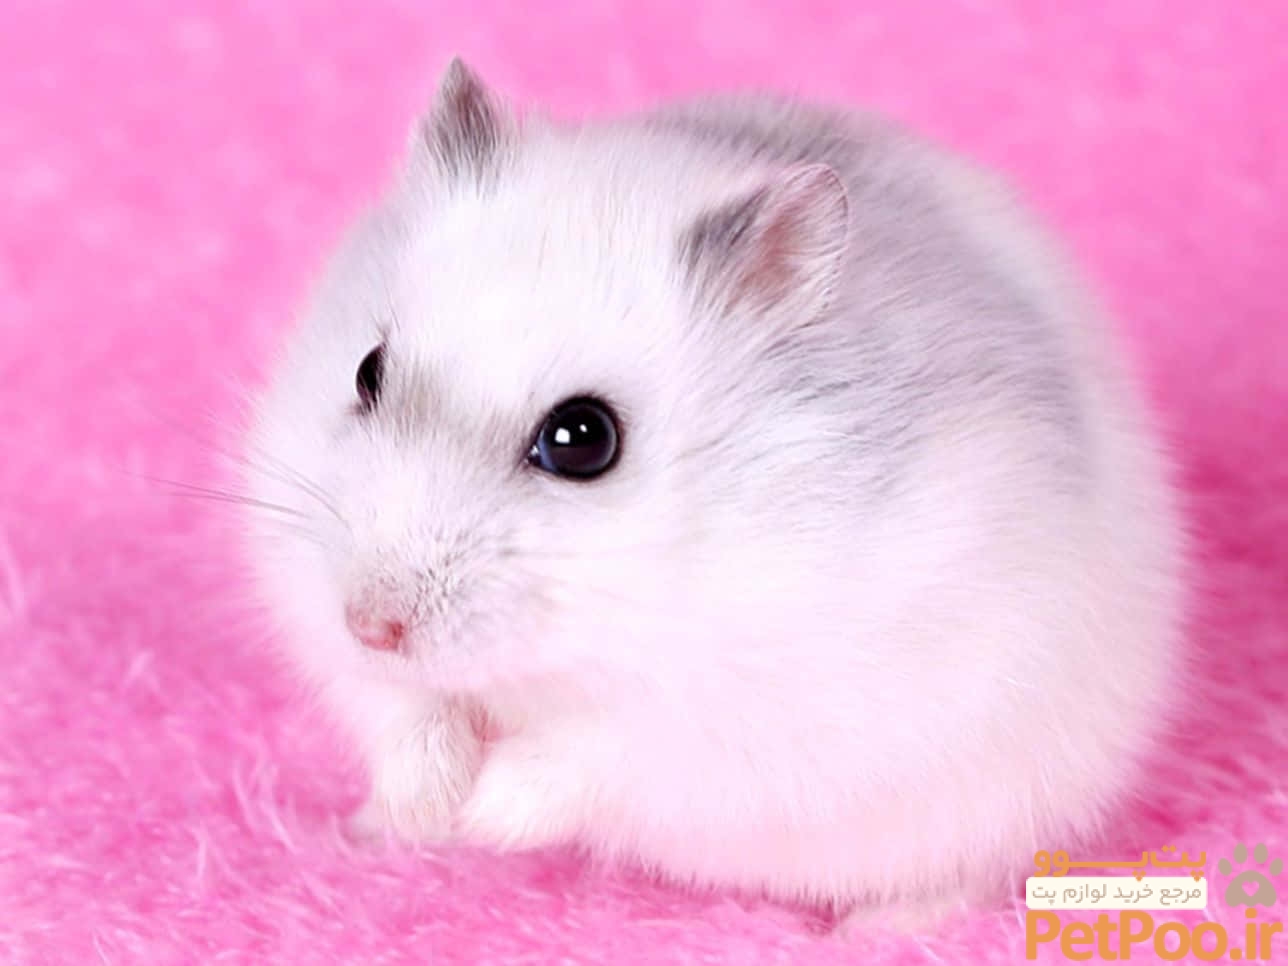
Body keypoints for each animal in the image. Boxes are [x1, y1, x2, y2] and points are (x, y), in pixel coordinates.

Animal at [241, 58, 1186, 928]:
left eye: (584, 440)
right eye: (367, 372)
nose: (372, 625)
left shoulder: (737, 720)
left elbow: (592, 755)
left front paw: (482, 815)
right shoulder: (315, 601)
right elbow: (403, 710)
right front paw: (427, 809)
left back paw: (878, 926)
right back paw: (367, 829)